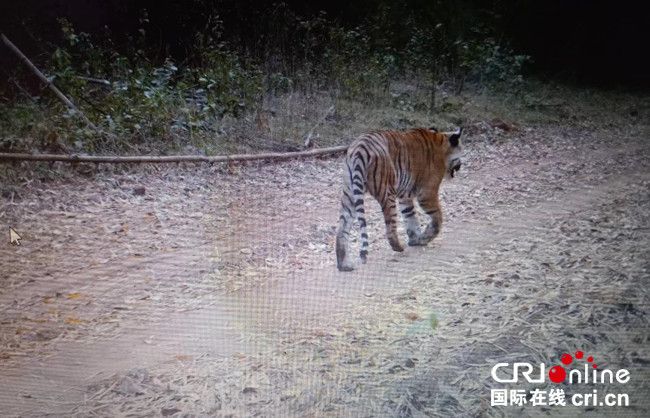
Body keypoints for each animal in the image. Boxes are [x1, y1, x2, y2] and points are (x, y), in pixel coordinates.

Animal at [334, 127, 460, 272]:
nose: (460, 166)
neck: (441, 143)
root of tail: (360, 148)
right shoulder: (427, 192)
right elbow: (437, 218)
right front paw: (425, 238)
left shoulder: (405, 196)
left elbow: (410, 217)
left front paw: (416, 240)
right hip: (387, 192)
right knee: (390, 228)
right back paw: (399, 247)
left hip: (349, 195)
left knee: (342, 229)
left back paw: (344, 265)